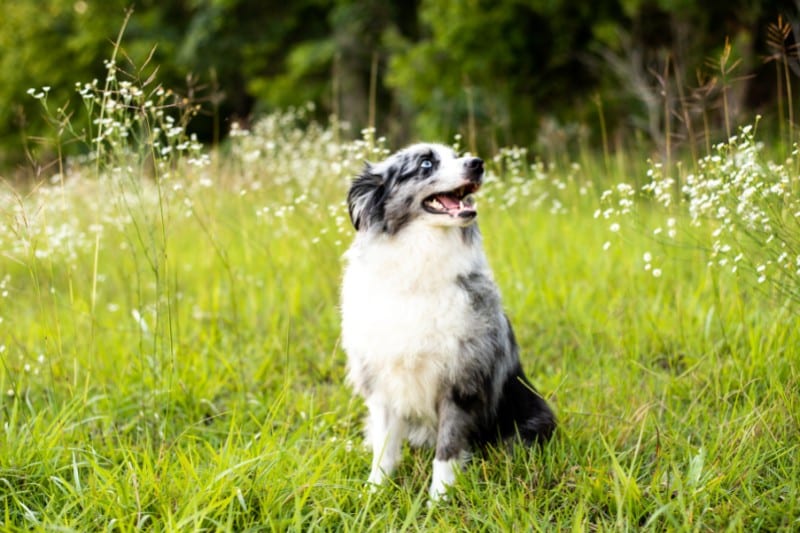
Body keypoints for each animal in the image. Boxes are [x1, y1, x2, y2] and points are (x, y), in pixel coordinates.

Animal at [340, 142, 556, 498]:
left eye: (458, 155)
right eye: (426, 163)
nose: (477, 164)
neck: (419, 263)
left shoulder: (460, 381)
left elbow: (448, 447)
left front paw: (438, 500)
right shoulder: (382, 380)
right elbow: (384, 449)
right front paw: (374, 492)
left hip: (532, 420)